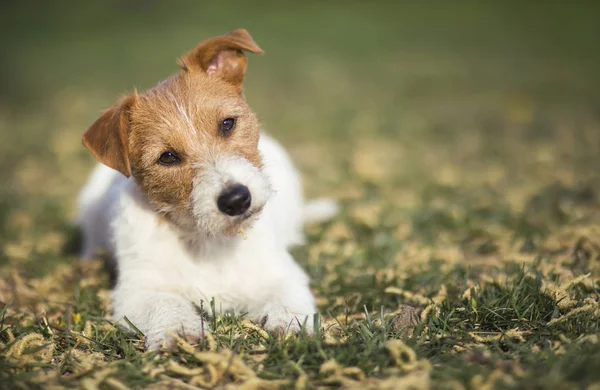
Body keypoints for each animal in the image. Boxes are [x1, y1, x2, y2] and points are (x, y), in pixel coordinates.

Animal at [77, 29, 338, 348]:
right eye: (167, 157)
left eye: (227, 123)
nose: (236, 199)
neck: (207, 240)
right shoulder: (137, 290)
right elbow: (166, 302)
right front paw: (179, 329)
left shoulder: (279, 272)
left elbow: (286, 297)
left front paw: (291, 324)